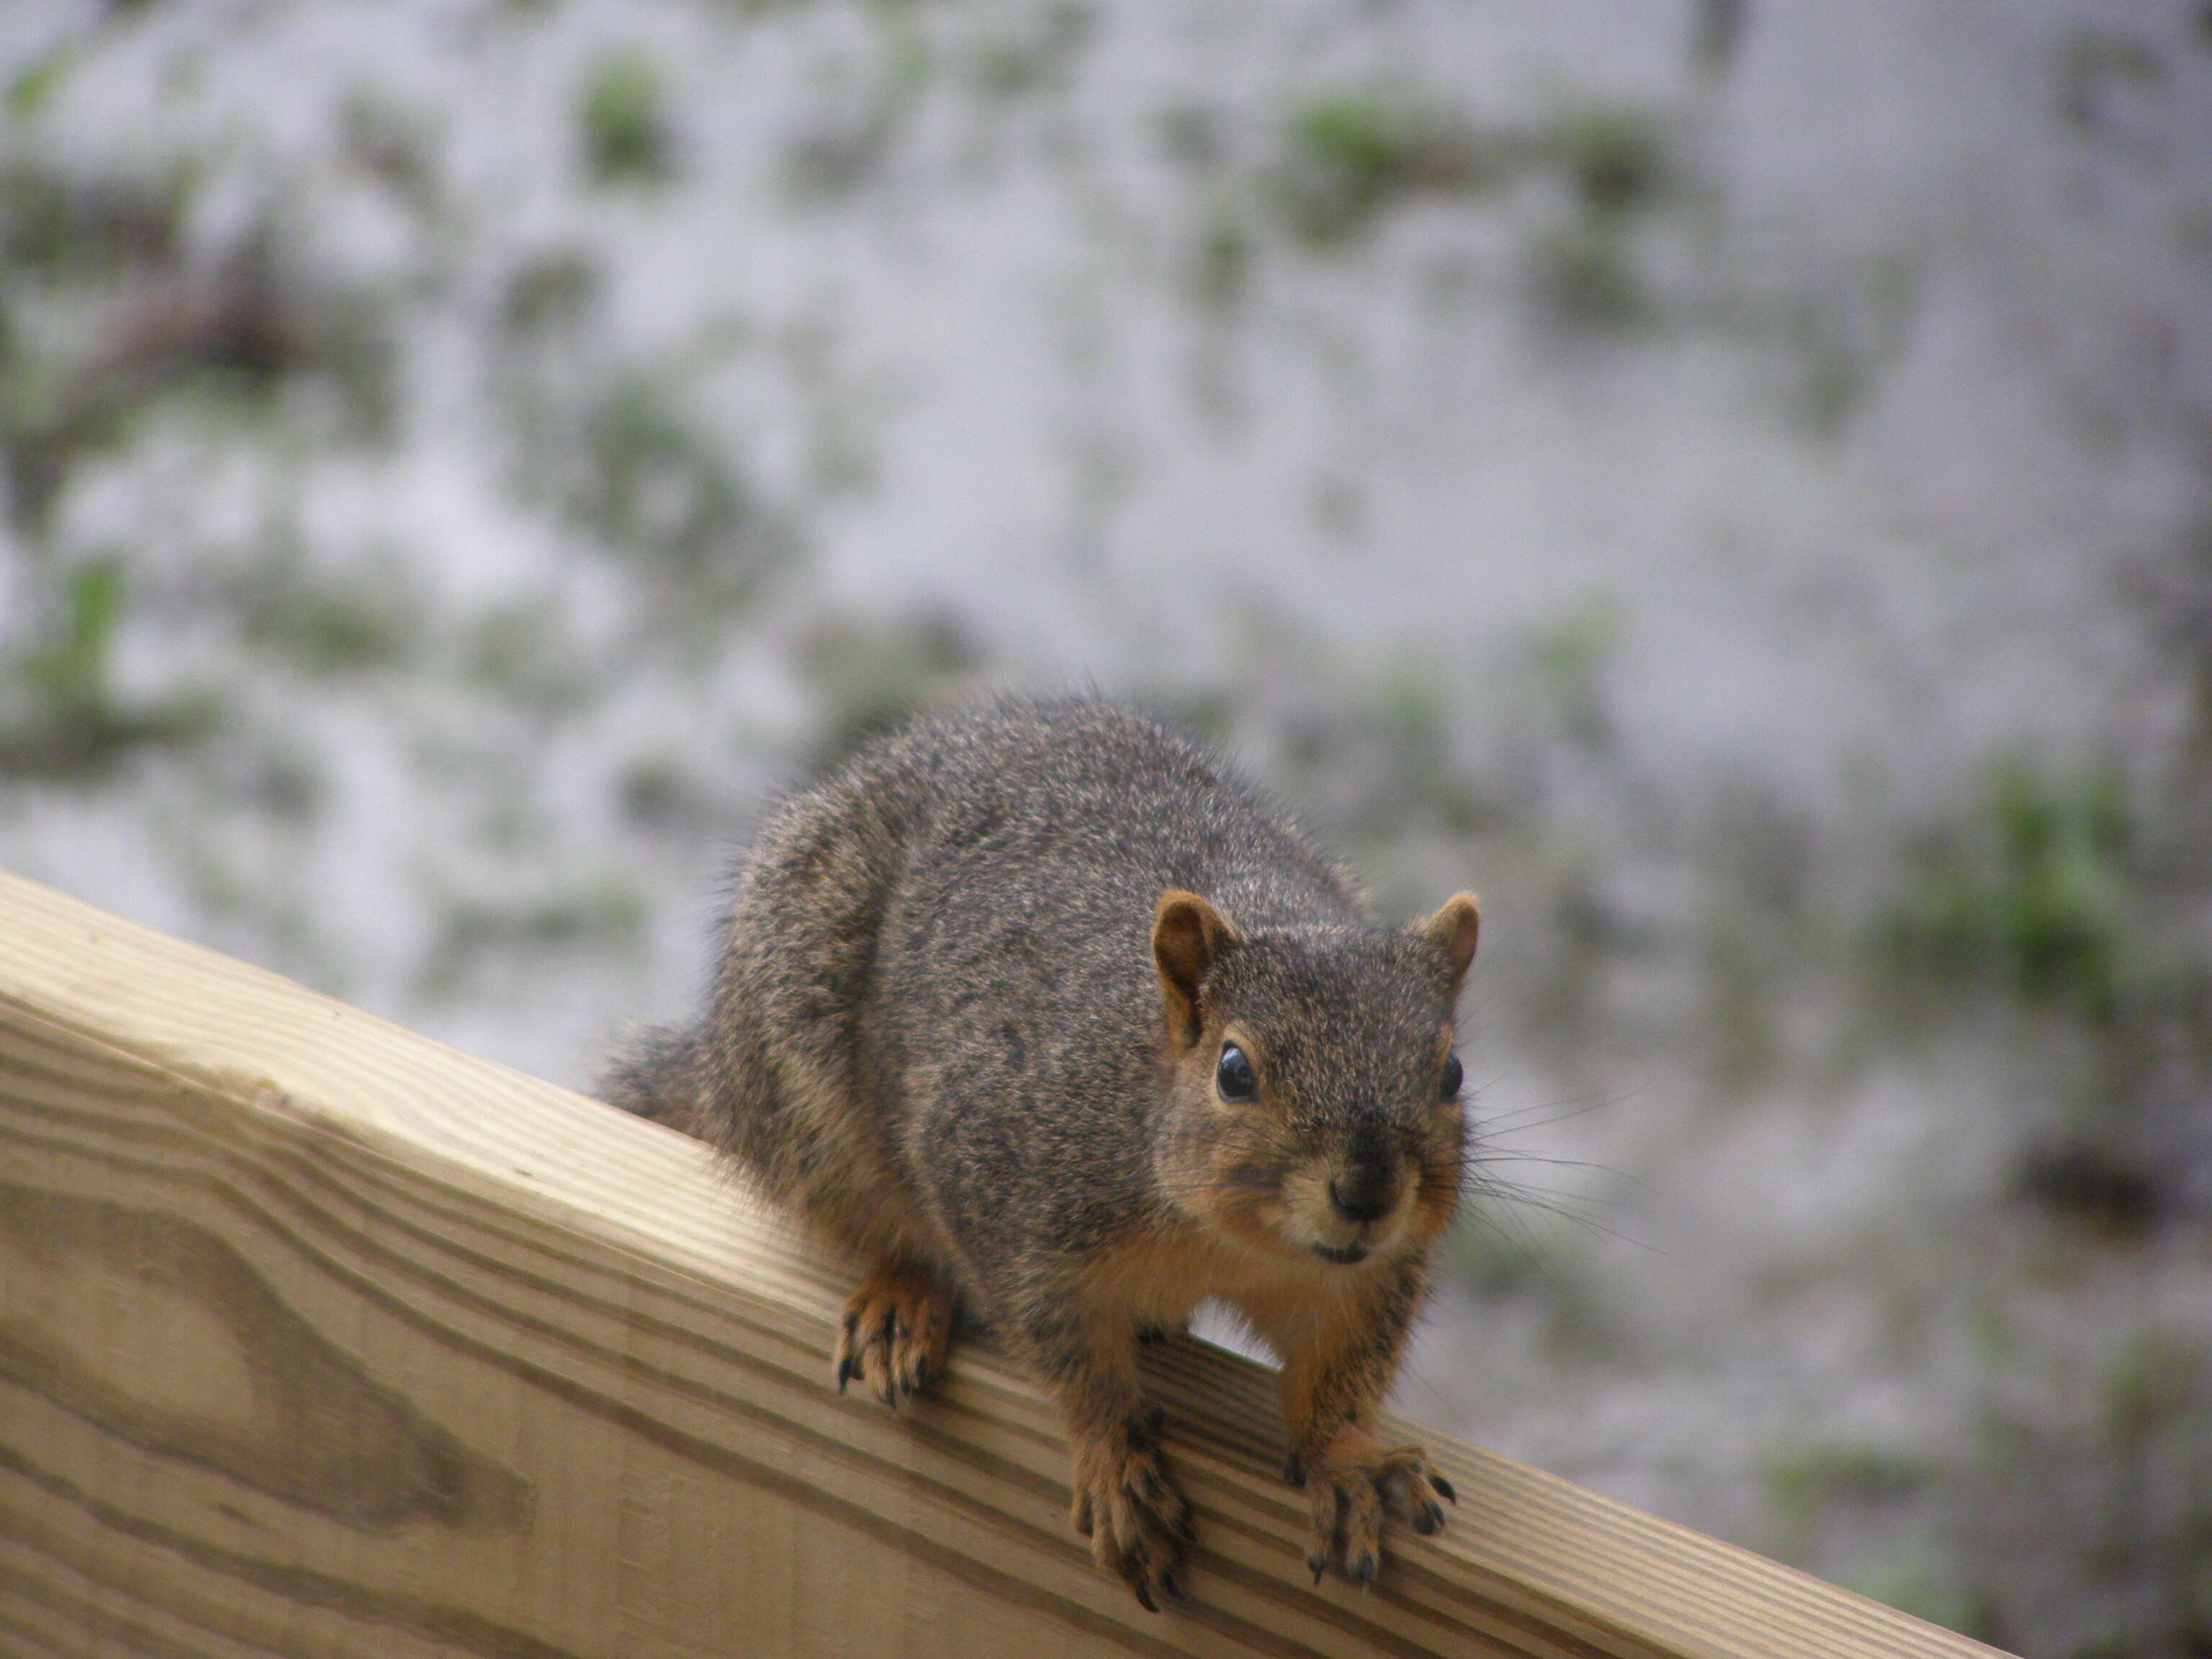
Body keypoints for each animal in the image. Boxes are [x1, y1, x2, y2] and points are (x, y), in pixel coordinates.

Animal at [597, 698, 1478, 1610]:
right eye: (1234, 1071)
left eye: (1451, 1072)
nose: (1368, 1191)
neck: (1225, 1238)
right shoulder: (1001, 1197)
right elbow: (1069, 1359)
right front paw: (1115, 1465)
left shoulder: (1363, 1279)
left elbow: (1341, 1373)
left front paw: (1347, 1465)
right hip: (802, 1087)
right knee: (865, 1220)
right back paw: (901, 1298)